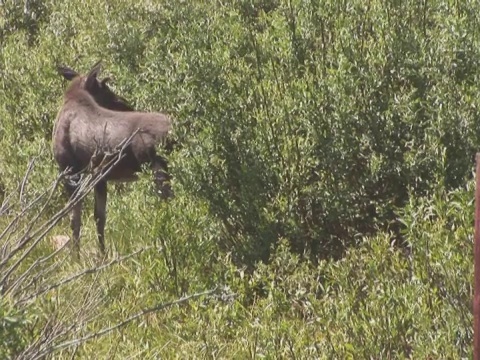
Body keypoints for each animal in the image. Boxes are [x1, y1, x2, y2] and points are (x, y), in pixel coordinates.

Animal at [53, 60, 172, 255]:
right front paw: (102, 255)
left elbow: (74, 219)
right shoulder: (99, 176)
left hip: (157, 168)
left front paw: (75, 257)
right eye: (105, 89)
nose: (125, 104)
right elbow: (99, 217)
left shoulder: (69, 170)